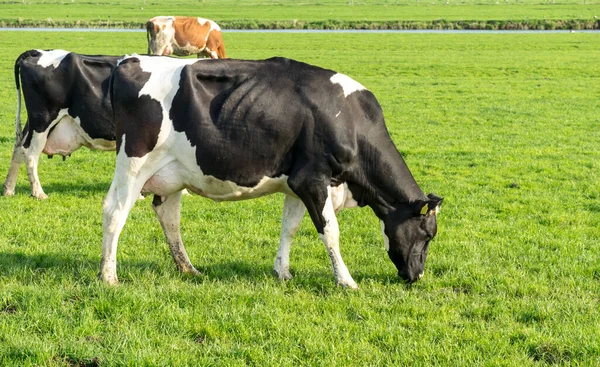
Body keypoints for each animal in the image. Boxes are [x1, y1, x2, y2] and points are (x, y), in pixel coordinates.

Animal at [3, 50, 120, 200]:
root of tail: (38, 52)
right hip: (42, 120)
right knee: (29, 153)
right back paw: (38, 193)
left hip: (33, 123)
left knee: (18, 148)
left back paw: (9, 189)